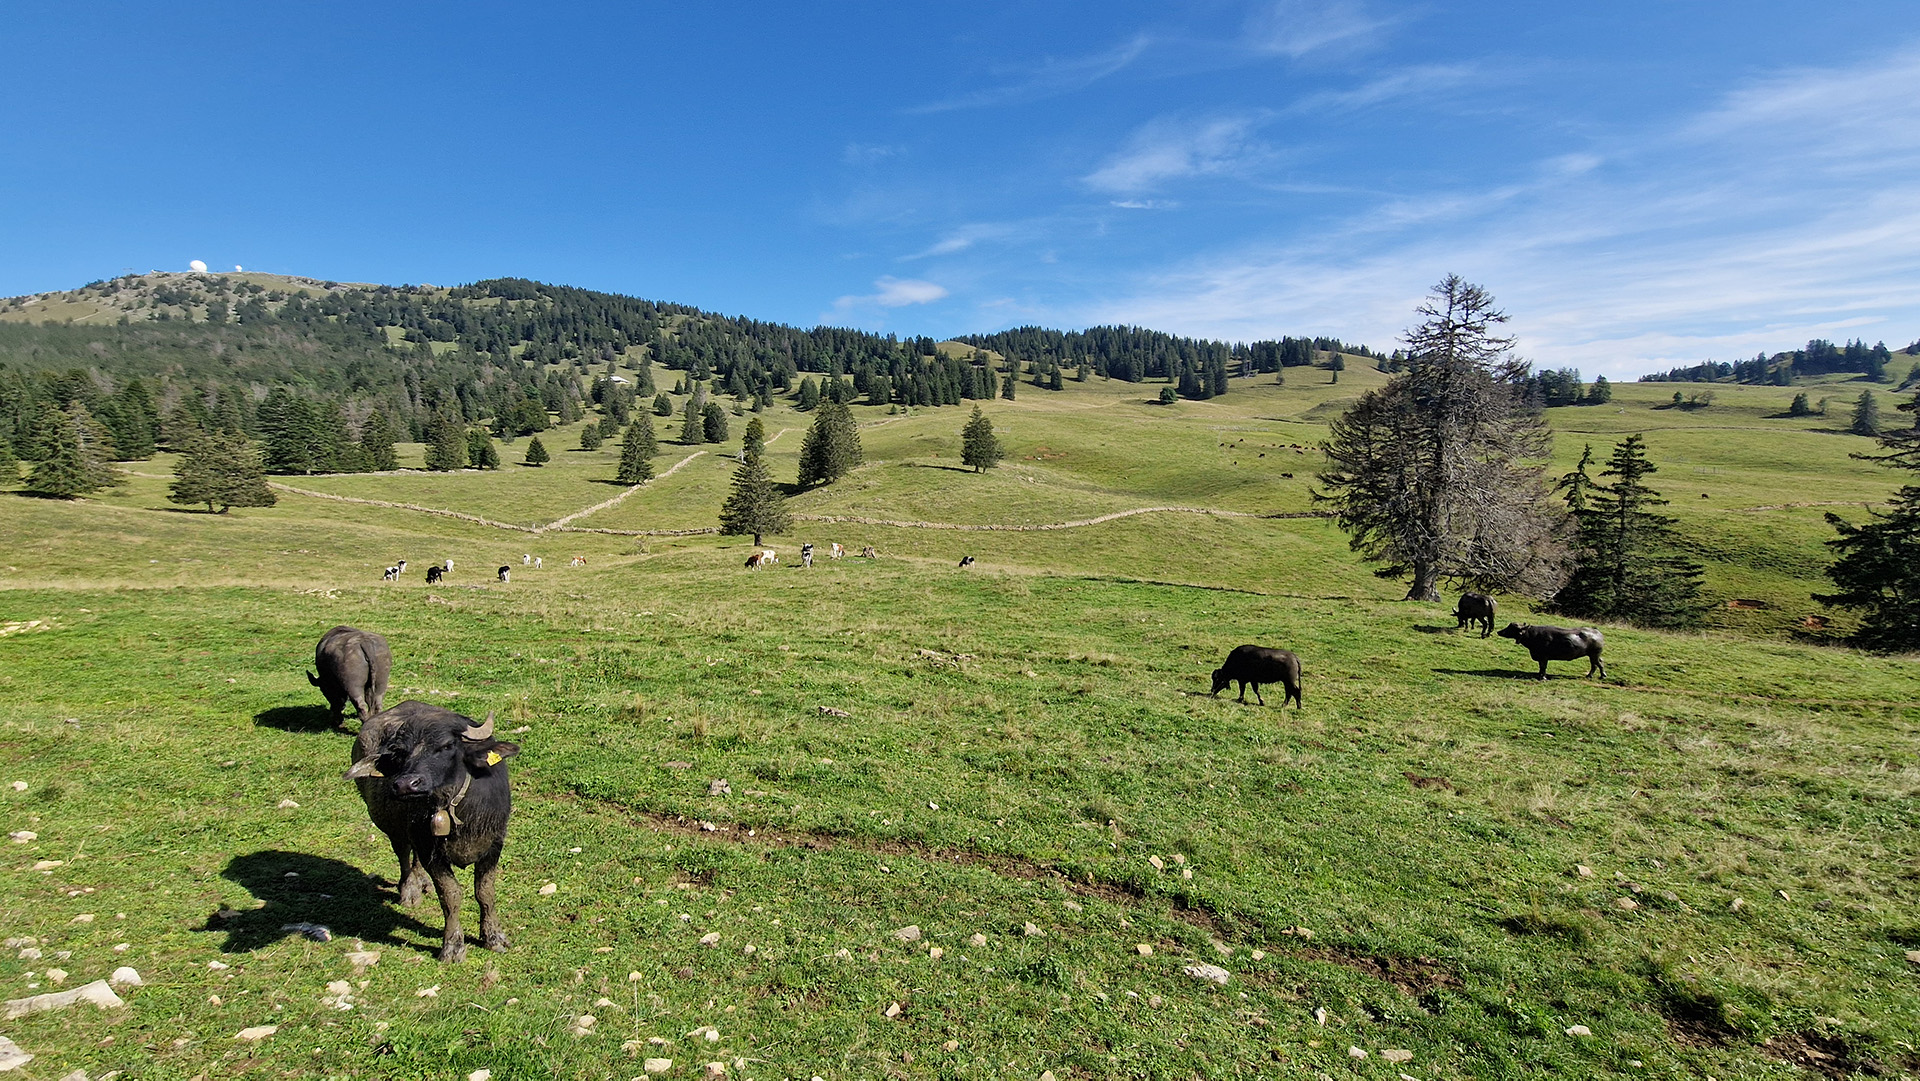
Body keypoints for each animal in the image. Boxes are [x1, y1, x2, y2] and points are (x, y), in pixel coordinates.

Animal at [345, 702, 520, 963]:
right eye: (399, 753)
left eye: (446, 746)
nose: (406, 785)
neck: (455, 809)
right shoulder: (430, 850)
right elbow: (450, 895)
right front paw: (453, 946)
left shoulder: (493, 845)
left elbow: (485, 891)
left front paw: (494, 937)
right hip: (395, 829)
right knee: (403, 854)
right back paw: (410, 890)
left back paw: (422, 882)